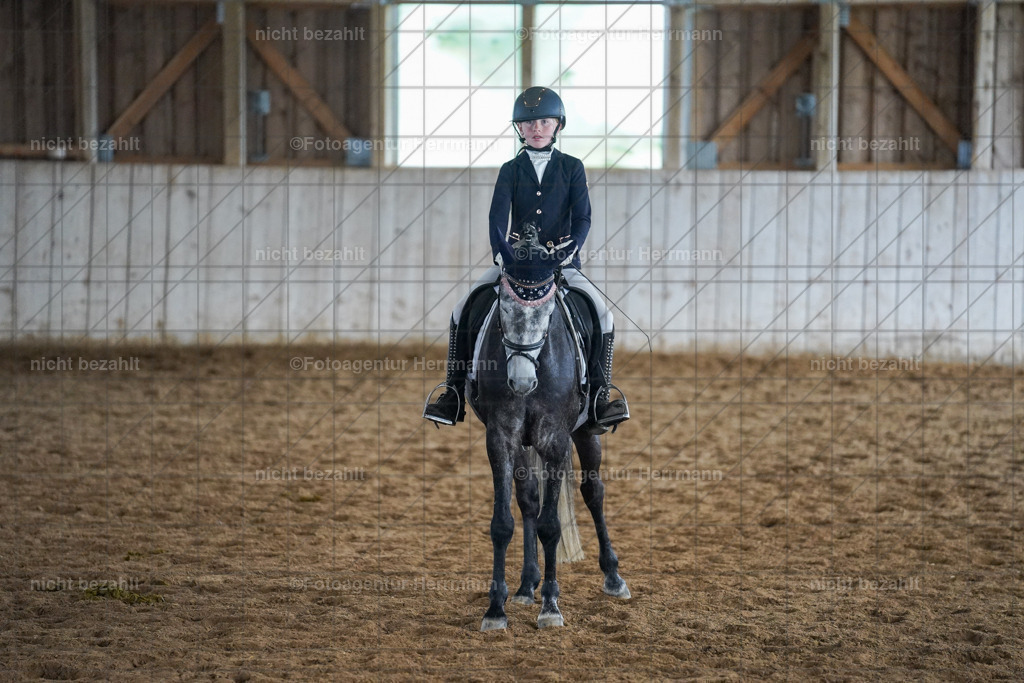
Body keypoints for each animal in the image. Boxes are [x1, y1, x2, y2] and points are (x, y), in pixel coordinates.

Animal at [466, 241, 631, 631]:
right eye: (502, 310)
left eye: (547, 313)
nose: (522, 381)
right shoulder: (501, 437)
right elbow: (504, 523)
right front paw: (496, 610)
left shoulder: (555, 439)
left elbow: (551, 525)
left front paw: (551, 607)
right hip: (525, 443)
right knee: (528, 500)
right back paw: (526, 585)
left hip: (585, 432)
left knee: (593, 492)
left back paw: (613, 577)